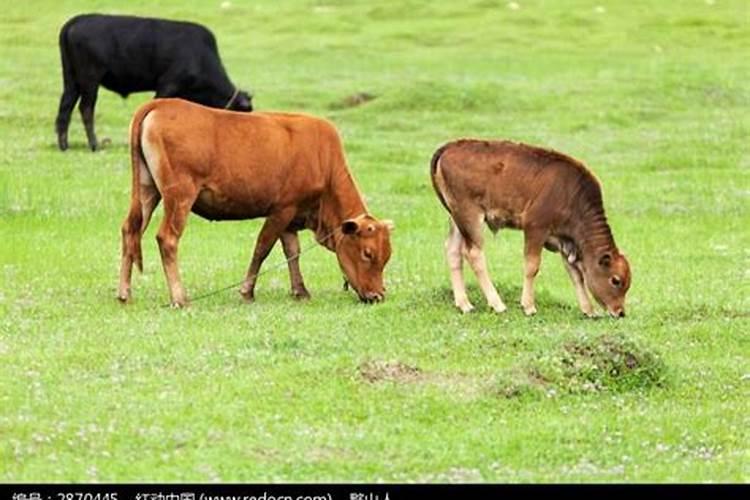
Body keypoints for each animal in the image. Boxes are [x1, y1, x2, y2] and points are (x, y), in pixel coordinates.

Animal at [55, 15, 254, 152]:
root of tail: (75, 21)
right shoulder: (167, 86)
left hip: (71, 81)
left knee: (65, 107)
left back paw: (64, 145)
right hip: (90, 80)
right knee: (86, 108)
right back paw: (94, 145)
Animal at [117, 97, 394, 306]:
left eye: (387, 256)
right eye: (368, 253)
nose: (377, 295)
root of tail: (161, 103)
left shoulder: (292, 217)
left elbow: (292, 252)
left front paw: (300, 290)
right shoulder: (282, 209)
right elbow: (262, 247)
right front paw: (247, 291)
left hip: (148, 190)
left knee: (130, 230)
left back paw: (124, 293)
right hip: (180, 195)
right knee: (167, 238)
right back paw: (179, 298)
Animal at [432, 138, 632, 316]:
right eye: (616, 280)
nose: (620, 312)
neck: (572, 195)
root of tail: (450, 147)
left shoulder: (565, 242)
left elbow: (576, 274)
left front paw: (588, 310)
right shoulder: (536, 228)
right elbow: (532, 266)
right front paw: (528, 306)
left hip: (457, 219)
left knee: (453, 251)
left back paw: (464, 304)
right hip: (470, 216)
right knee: (473, 253)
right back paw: (497, 305)